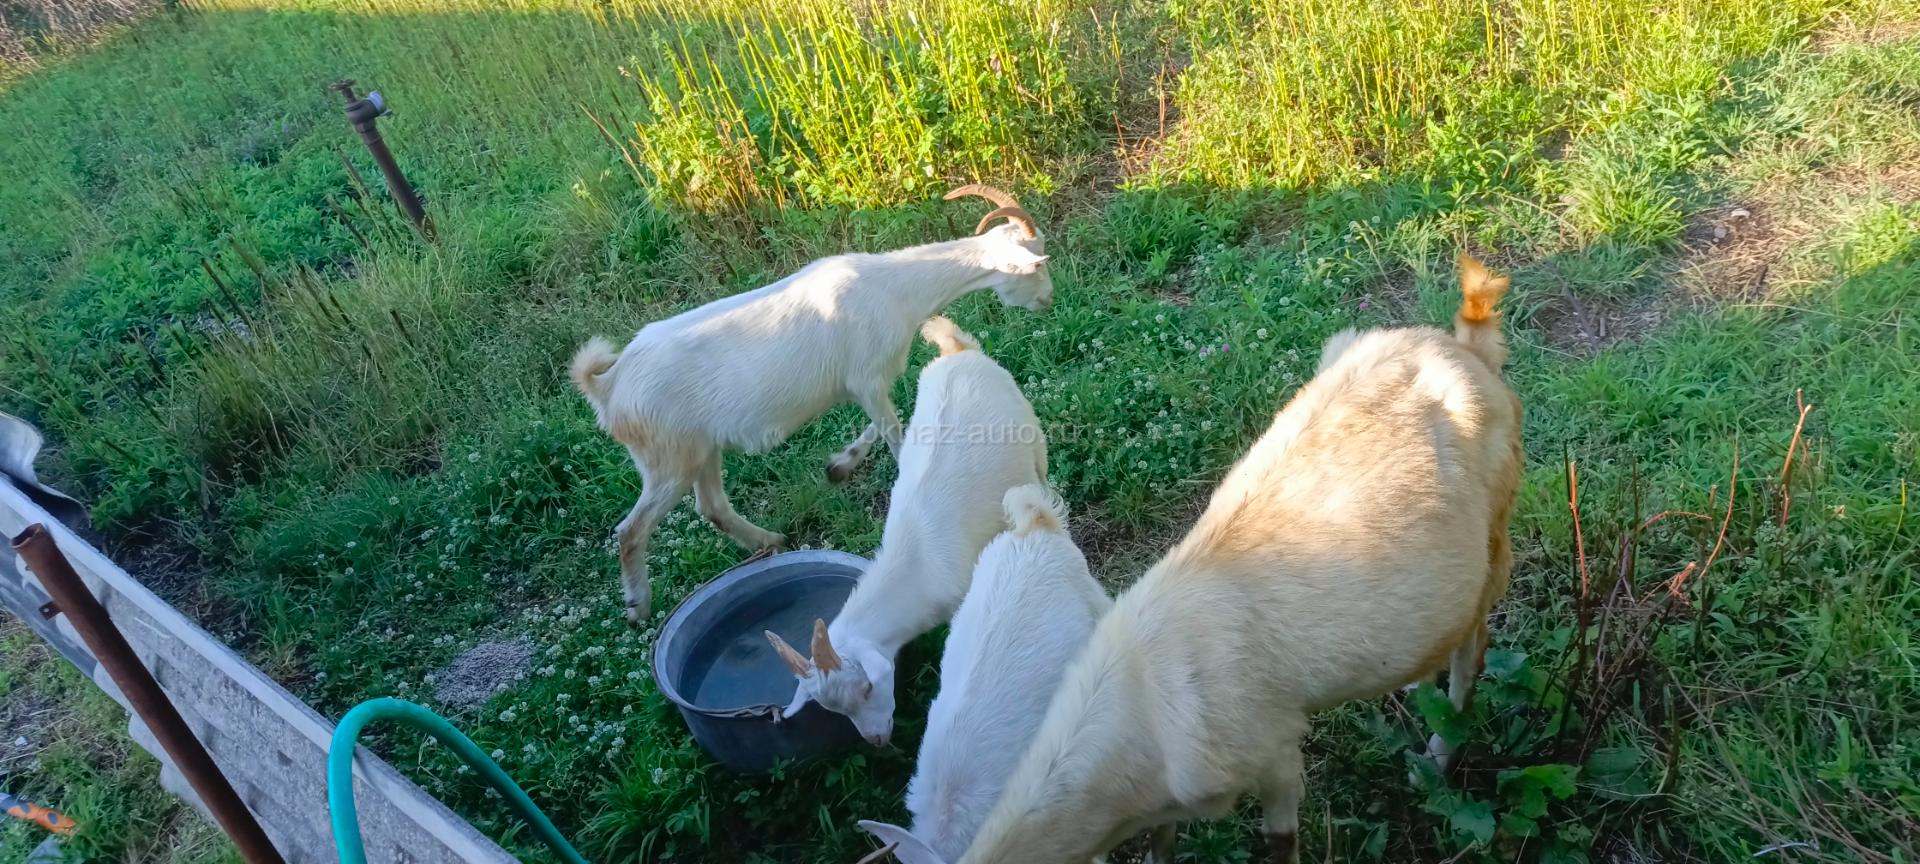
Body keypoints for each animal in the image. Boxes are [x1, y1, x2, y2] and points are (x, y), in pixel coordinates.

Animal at [570, 186, 1051, 623]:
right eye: (1037, 259)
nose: (1048, 298)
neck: (895, 289)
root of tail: (608, 386)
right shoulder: (867, 377)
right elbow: (896, 435)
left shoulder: (866, 383)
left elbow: (884, 423)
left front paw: (839, 465)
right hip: (668, 459)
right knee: (631, 530)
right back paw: (638, 605)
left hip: (701, 450)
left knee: (712, 508)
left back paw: (771, 541)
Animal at [764, 317, 1048, 745]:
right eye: (834, 709)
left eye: (868, 687)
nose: (877, 741)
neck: (915, 567)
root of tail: (955, 350)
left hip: (1030, 428)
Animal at [938, 253, 1521, 864]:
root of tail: (1467, 344)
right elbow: (1163, 840)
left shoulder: (1275, 749)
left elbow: (1279, 838)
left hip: (1495, 527)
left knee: (1475, 649)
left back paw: (1437, 755)